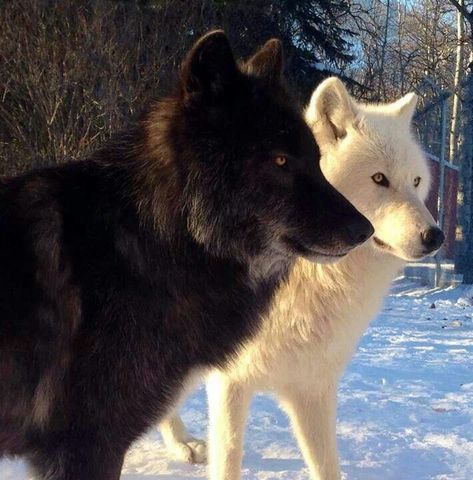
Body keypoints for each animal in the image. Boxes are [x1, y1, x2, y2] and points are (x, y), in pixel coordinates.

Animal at [159, 78, 442, 480]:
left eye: (416, 181)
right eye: (379, 179)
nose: (436, 237)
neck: (309, 276)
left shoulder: (313, 387)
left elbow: (327, 467)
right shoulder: (230, 382)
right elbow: (228, 457)